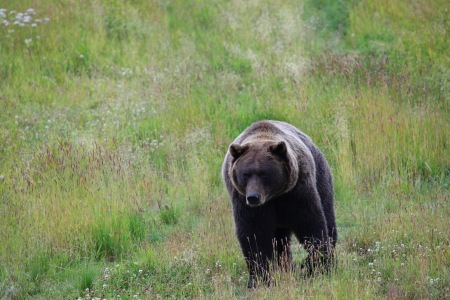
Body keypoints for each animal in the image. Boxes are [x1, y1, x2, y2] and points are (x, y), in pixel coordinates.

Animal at [222, 119, 338, 288]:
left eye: (263, 173)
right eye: (246, 174)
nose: (253, 197)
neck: (274, 196)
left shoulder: (297, 192)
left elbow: (310, 225)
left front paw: (314, 265)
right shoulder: (245, 202)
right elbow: (254, 234)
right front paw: (259, 278)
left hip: (321, 177)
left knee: (328, 218)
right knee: (280, 242)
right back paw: (286, 266)